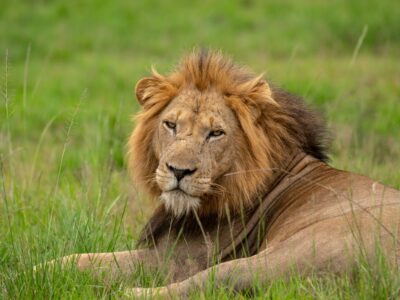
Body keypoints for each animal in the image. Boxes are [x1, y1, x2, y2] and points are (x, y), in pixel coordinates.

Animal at [49, 50, 400, 296]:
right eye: (170, 125)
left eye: (215, 133)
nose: (179, 171)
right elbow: (71, 259)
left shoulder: (175, 260)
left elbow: (82, 261)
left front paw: (42, 273)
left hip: (278, 258)